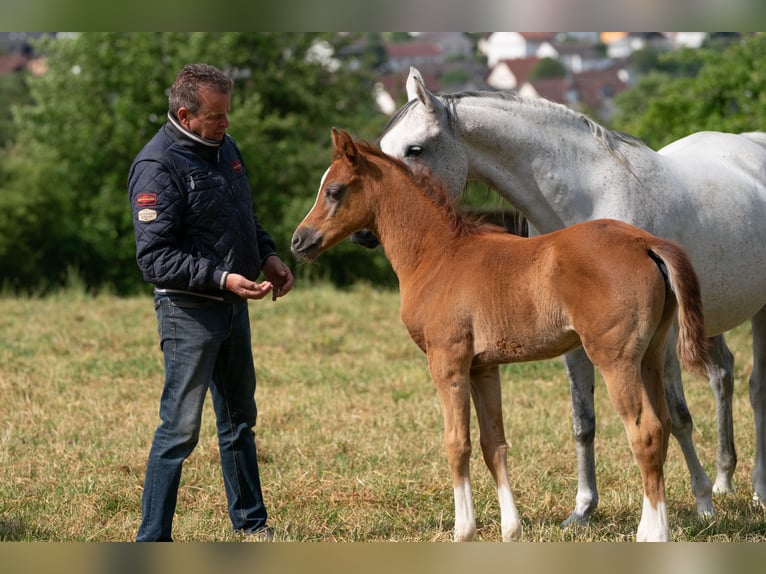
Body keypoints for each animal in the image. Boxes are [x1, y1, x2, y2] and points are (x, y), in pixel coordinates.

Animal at [380, 66, 766, 528]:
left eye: (415, 149)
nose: (369, 231)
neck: (590, 197)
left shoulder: (661, 340)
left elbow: (676, 416)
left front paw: (702, 503)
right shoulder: (577, 341)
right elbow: (585, 422)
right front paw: (583, 508)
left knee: (756, 389)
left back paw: (755, 489)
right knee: (722, 375)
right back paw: (726, 480)